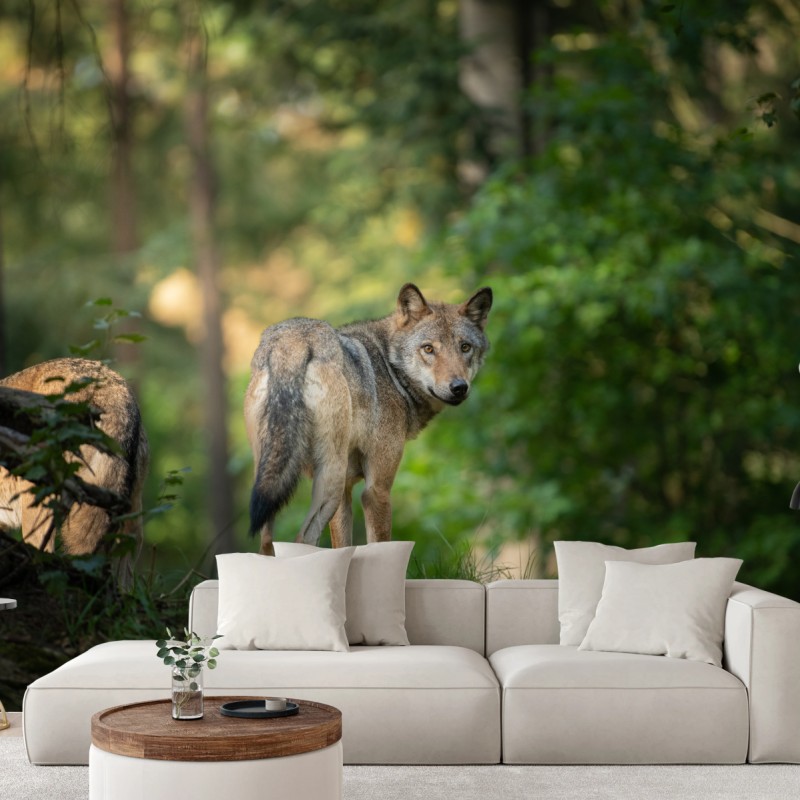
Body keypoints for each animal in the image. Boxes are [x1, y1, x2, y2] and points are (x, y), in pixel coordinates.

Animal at [245, 282, 493, 555]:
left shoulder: (346, 490)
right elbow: (380, 545)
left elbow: (343, 545)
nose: (459, 387)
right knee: (301, 540)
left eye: (465, 347)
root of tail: (293, 341)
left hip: (270, 482)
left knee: (267, 544)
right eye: (428, 349)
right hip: (328, 480)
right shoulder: (376, 490)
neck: (390, 368)